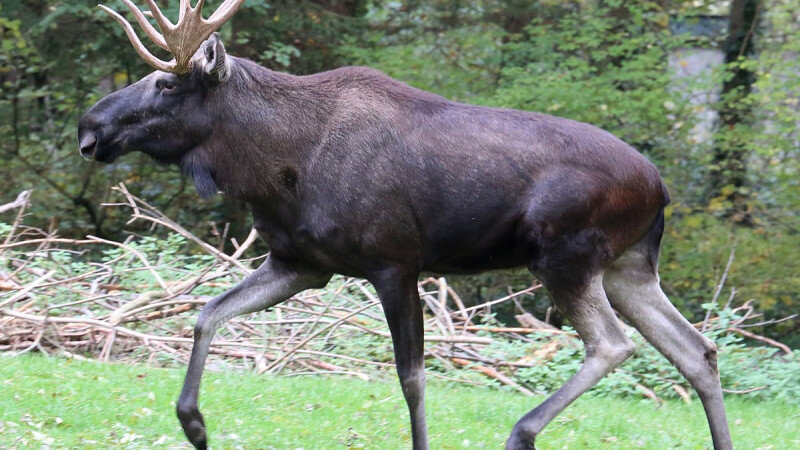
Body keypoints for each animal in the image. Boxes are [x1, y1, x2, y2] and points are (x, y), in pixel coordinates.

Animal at [78, 1, 736, 448]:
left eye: (166, 81)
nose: (89, 128)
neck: (272, 167)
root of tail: (662, 188)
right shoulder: (302, 263)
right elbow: (206, 313)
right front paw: (194, 424)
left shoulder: (394, 261)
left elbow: (412, 377)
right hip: (628, 268)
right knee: (697, 350)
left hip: (565, 255)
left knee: (613, 344)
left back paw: (522, 431)